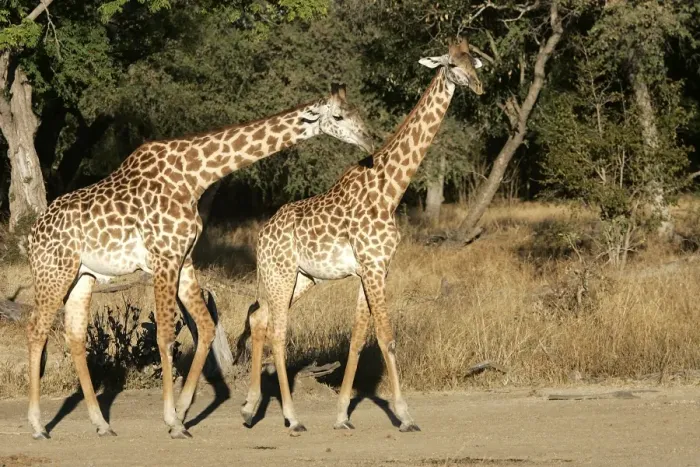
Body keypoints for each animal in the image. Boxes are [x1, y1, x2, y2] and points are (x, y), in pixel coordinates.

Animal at [25, 83, 374, 440]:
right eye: (338, 116)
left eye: (359, 111)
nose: (370, 139)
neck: (193, 177)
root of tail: (32, 235)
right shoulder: (163, 257)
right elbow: (166, 334)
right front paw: (172, 419)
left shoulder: (183, 260)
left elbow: (205, 328)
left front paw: (182, 413)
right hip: (53, 271)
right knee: (36, 330)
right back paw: (38, 426)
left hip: (82, 276)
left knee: (75, 336)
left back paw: (101, 424)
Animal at [241, 38, 483, 434]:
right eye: (451, 64)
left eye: (473, 61)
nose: (478, 86)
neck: (391, 189)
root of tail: (261, 237)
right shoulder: (372, 266)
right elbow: (387, 338)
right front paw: (405, 416)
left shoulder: (374, 269)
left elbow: (356, 339)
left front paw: (342, 416)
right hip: (281, 272)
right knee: (277, 329)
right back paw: (292, 418)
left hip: (301, 278)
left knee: (260, 319)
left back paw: (249, 409)